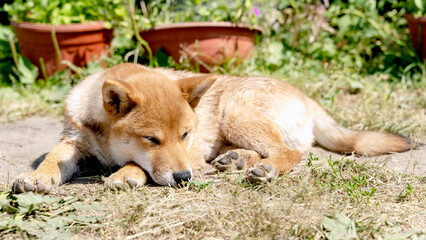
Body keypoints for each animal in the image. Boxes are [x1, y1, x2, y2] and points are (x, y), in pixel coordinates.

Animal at [11, 63, 412, 193]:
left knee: (291, 151)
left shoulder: (188, 154)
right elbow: (53, 158)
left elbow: (138, 165)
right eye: (151, 138)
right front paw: (39, 176)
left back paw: (263, 168)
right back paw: (236, 160)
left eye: (185, 135)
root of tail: (307, 96)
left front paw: (126, 174)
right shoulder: (74, 141)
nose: (184, 178)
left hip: (237, 113)